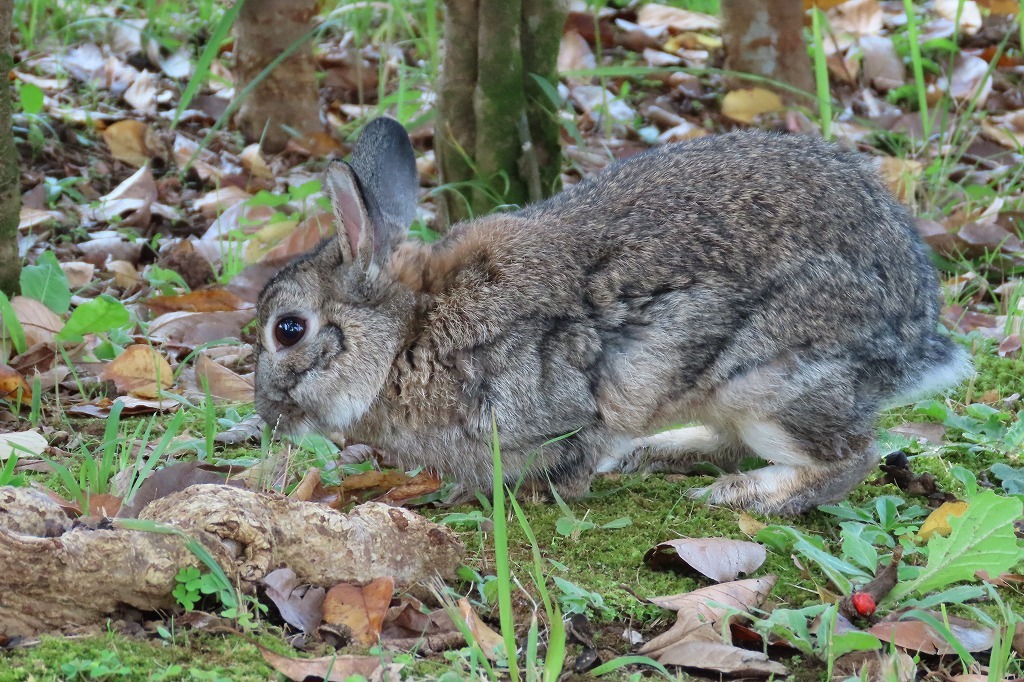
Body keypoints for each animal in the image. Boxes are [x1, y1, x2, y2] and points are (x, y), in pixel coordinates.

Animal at [251, 116, 970, 512]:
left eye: (288, 329)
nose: (266, 416)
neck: (408, 332)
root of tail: (918, 338)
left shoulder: (558, 411)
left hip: (774, 381)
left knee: (849, 458)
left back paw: (740, 496)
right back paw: (654, 455)